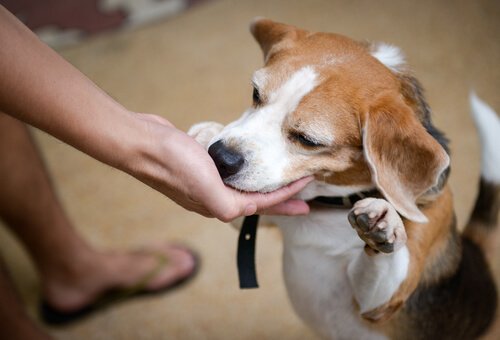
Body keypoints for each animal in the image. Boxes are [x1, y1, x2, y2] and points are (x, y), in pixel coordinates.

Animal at [188, 19, 500, 340]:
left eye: (307, 140)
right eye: (255, 94)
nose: (221, 157)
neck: (331, 204)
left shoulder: (382, 302)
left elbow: (385, 268)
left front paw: (383, 223)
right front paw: (207, 132)